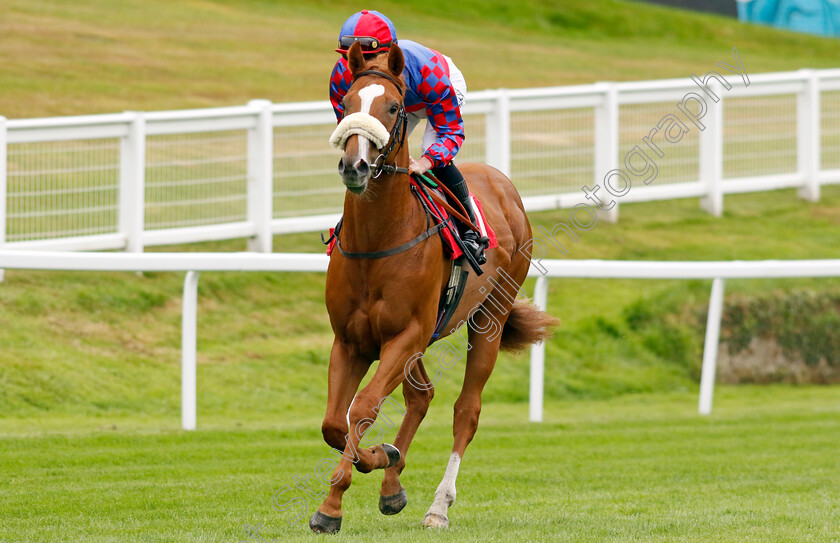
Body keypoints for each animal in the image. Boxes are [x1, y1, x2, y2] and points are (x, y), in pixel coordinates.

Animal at [310, 42, 556, 536]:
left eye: (393, 107)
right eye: (347, 104)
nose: (355, 166)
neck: (378, 240)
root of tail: (506, 186)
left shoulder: (405, 335)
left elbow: (362, 409)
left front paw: (367, 466)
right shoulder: (351, 340)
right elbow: (334, 423)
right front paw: (340, 498)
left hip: (489, 319)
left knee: (466, 410)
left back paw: (438, 506)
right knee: (420, 397)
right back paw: (392, 485)